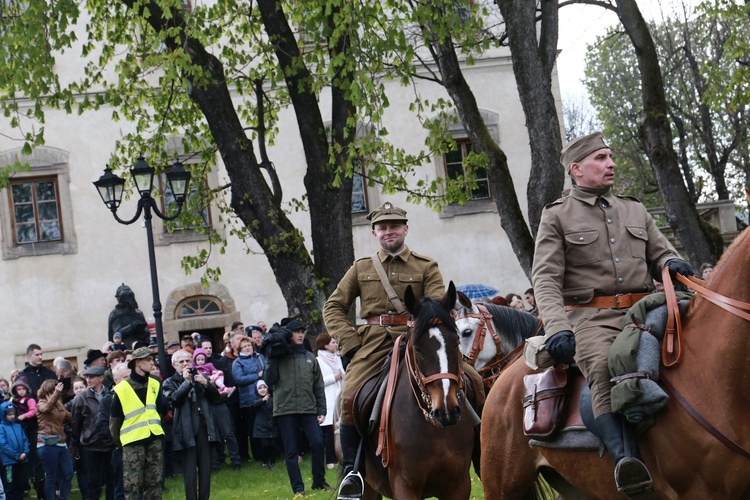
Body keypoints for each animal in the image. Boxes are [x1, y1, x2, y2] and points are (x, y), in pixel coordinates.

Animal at [360, 282, 476, 500]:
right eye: (418, 348)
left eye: (456, 342)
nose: (446, 410)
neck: (436, 431)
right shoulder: (404, 487)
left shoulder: (459, 486)